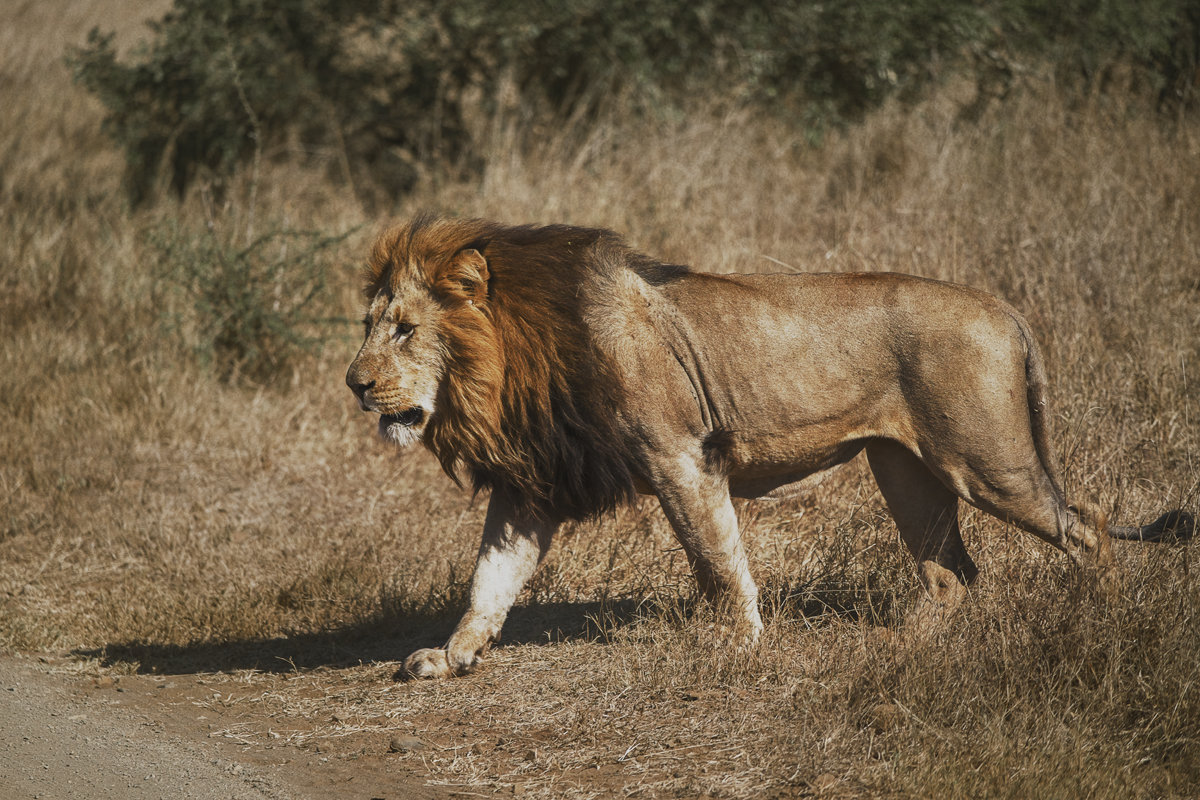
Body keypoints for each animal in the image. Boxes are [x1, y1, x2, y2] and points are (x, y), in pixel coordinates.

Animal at [345, 215, 1190, 681]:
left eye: (406, 330)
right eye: (368, 327)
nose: (355, 384)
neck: (513, 367)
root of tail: (1002, 306)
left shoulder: (679, 453)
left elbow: (717, 558)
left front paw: (741, 644)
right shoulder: (533, 485)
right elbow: (489, 580)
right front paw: (450, 657)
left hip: (986, 462)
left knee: (1089, 527)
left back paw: (1105, 625)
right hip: (906, 470)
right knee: (953, 572)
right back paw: (896, 646)